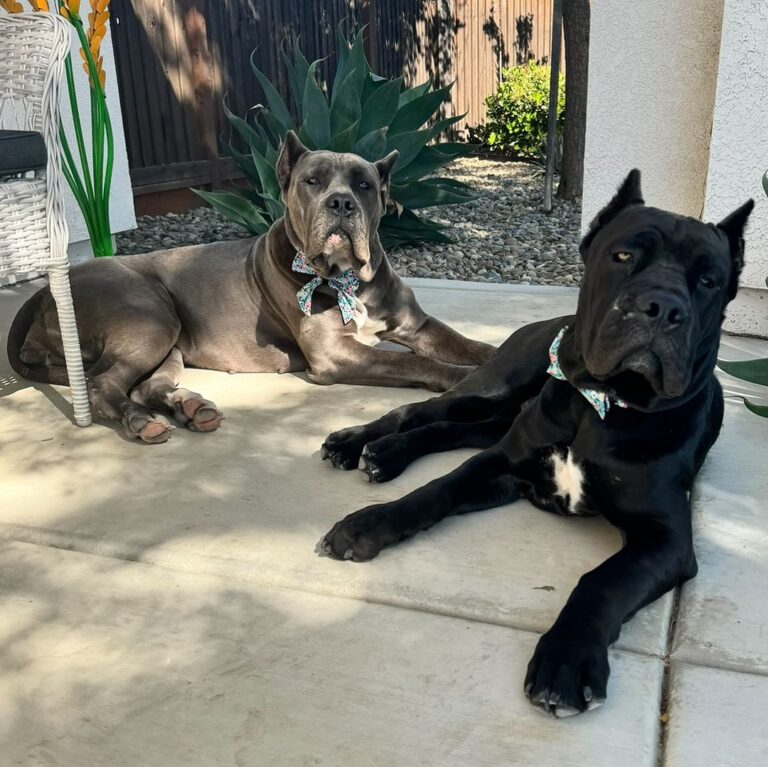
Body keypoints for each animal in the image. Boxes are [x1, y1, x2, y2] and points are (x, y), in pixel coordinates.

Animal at [7, 135, 492, 440]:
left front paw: (493, 356)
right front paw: (466, 379)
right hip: (151, 317)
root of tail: (45, 291)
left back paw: (190, 407)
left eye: (364, 185)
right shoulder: (334, 354)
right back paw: (141, 422)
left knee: (144, 385)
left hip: (169, 343)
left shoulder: (417, 326)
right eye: (313, 180)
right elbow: (414, 363)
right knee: (103, 384)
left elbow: (469, 344)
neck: (348, 278)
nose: (341, 203)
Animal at [320, 172, 756, 720]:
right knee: (426, 411)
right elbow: (435, 490)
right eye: (623, 256)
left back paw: (385, 454)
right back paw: (357, 443)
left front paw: (566, 660)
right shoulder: (499, 464)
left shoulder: (665, 537)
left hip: (502, 413)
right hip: (498, 383)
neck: (600, 406)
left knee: (453, 428)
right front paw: (369, 524)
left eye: (708, 281)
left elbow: (603, 580)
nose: (662, 307)